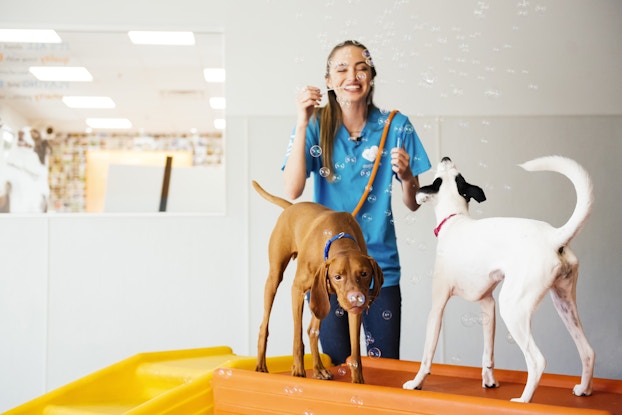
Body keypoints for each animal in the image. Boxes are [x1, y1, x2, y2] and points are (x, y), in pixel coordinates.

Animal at [255, 180, 386, 386]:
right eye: (338, 276)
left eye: (364, 274)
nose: (356, 298)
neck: (338, 238)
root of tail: (291, 206)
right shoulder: (297, 289)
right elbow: (297, 337)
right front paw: (298, 371)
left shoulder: (351, 308)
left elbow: (355, 352)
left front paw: (358, 383)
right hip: (275, 277)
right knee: (265, 326)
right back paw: (262, 366)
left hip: (321, 297)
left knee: (312, 330)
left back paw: (318, 370)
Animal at [402, 156, 596, 404]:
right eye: (458, 176)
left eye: (442, 177)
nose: (446, 158)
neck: (455, 219)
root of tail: (554, 236)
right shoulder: (488, 305)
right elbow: (488, 353)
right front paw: (489, 381)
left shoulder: (437, 307)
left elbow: (427, 355)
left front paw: (416, 383)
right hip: (564, 304)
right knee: (588, 352)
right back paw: (584, 389)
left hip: (513, 308)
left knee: (537, 361)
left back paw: (523, 401)